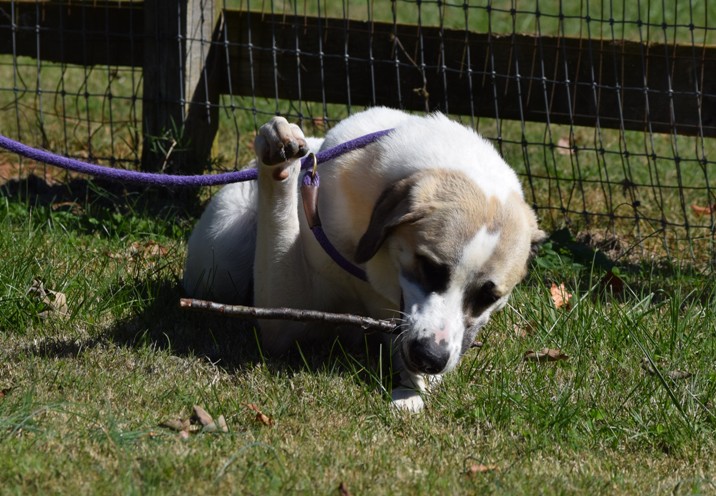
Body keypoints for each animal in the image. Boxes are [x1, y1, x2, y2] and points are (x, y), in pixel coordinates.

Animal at [183, 107, 545, 412]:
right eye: (429, 267)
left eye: (489, 297)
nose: (430, 358)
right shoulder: (283, 323)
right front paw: (279, 157)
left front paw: (410, 392)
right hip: (221, 256)